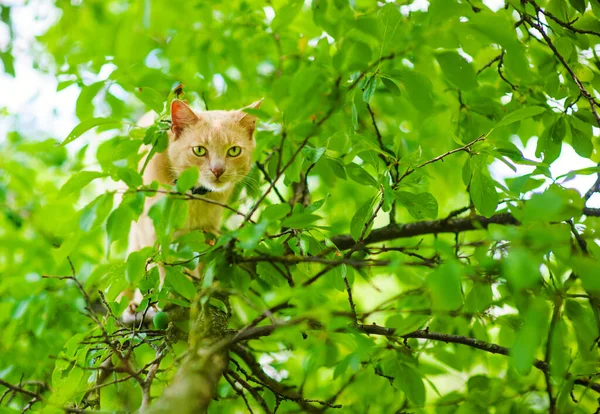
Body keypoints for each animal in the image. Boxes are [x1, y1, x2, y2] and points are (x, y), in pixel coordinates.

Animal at [122, 98, 260, 324]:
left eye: (233, 151)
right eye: (199, 150)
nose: (217, 170)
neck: (193, 199)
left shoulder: (208, 230)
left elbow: (203, 261)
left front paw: (202, 292)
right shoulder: (153, 230)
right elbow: (159, 264)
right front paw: (166, 297)